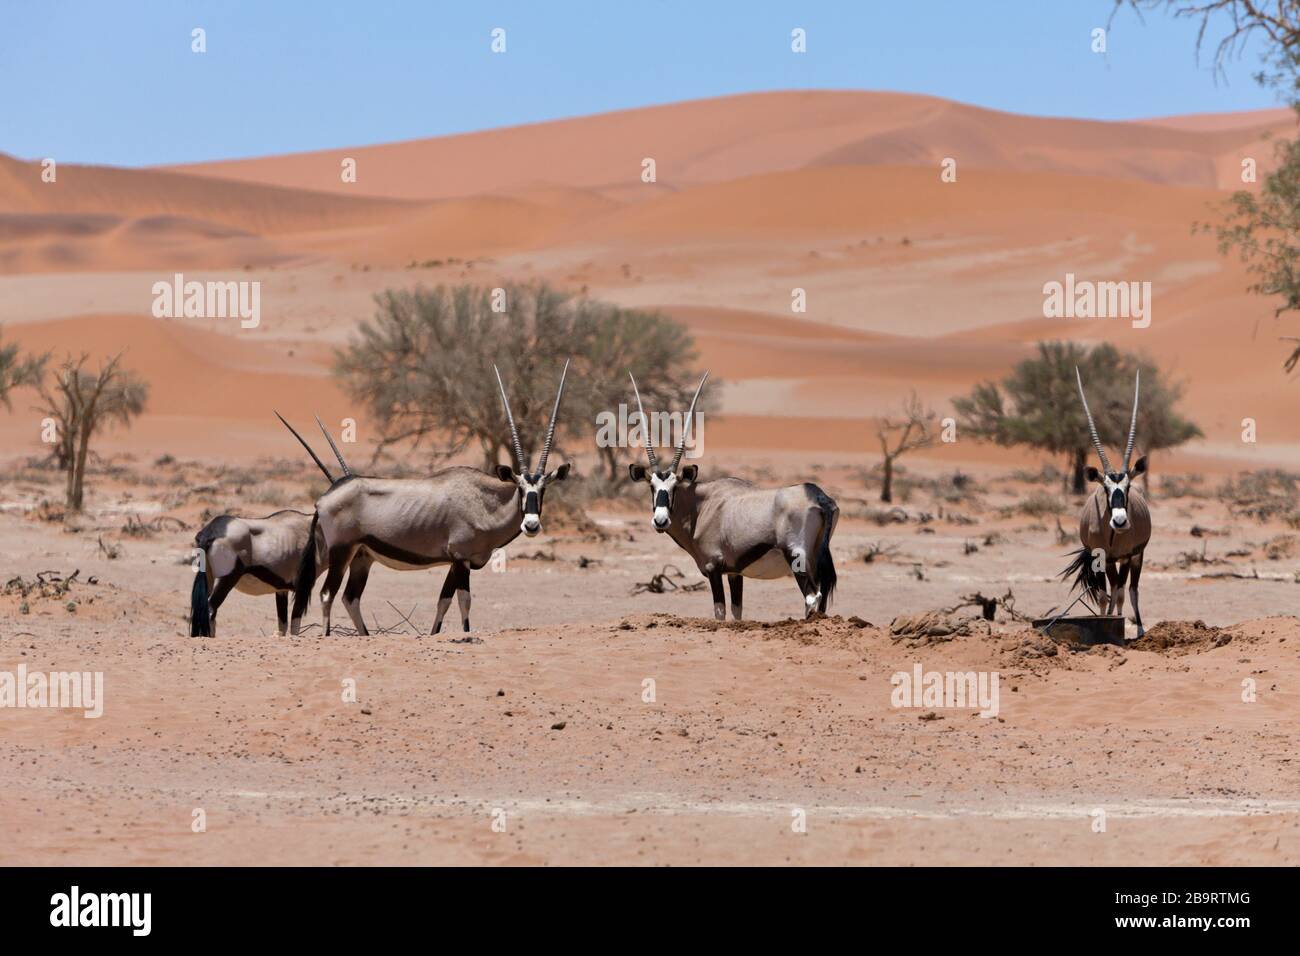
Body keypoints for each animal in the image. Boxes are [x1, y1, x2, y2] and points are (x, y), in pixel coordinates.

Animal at [292, 361, 572, 639]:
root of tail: (323, 499)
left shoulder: (456, 562)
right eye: (520, 488)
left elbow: (443, 601)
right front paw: (465, 634)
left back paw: (366, 635)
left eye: (543, 489)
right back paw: (328, 635)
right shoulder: (461, 558)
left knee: (350, 598)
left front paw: (434, 634)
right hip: (341, 552)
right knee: (327, 594)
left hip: (362, 557)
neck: (484, 501)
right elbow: (464, 600)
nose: (531, 525)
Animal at [629, 369, 842, 624]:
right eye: (651, 486)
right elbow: (737, 611)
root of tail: (818, 496)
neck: (701, 506)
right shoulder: (734, 572)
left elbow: (720, 611)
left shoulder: (713, 567)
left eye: (674, 486)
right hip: (816, 561)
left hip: (797, 558)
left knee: (811, 597)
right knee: (821, 599)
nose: (660, 521)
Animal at [1060, 369, 1154, 639]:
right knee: (1111, 588)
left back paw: (1136, 626)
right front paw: (1106, 622)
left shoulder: (1128, 556)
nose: (1120, 521)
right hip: (1109, 561)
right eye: (1105, 488)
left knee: (1129, 590)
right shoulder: (1100, 556)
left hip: (1135, 557)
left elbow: (1123, 593)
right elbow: (1104, 595)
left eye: (1128, 487)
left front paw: (1127, 629)